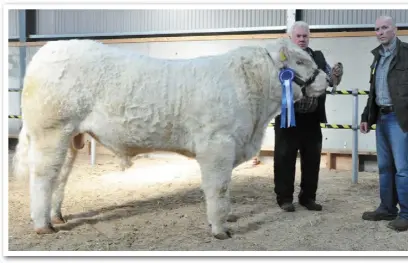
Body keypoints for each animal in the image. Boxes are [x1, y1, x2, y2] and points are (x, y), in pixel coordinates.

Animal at [12, 38, 330, 240]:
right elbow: (219, 189)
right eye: (300, 60)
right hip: (51, 130)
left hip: (71, 136)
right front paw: (220, 229)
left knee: (60, 176)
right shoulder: (217, 145)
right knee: (43, 176)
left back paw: (56, 216)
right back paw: (42, 225)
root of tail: (47, 50)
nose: (328, 79)